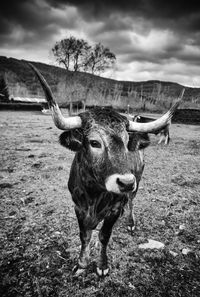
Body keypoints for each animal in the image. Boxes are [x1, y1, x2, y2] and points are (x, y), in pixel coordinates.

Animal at [28, 63, 184, 276]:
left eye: (126, 142)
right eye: (94, 142)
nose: (126, 183)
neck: (94, 193)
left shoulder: (114, 209)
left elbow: (104, 235)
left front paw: (102, 265)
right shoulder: (78, 207)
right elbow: (84, 235)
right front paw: (82, 263)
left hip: (138, 181)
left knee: (131, 202)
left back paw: (131, 223)